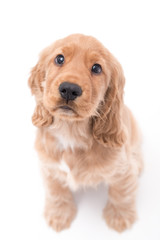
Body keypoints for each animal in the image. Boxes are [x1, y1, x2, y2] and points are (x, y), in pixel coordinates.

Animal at [28, 33, 143, 232]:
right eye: (59, 59)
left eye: (96, 68)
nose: (69, 89)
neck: (70, 132)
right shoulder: (49, 167)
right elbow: (55, 190)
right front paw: (58, 214)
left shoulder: (124, 170)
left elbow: (122, 192)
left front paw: (119, 217)